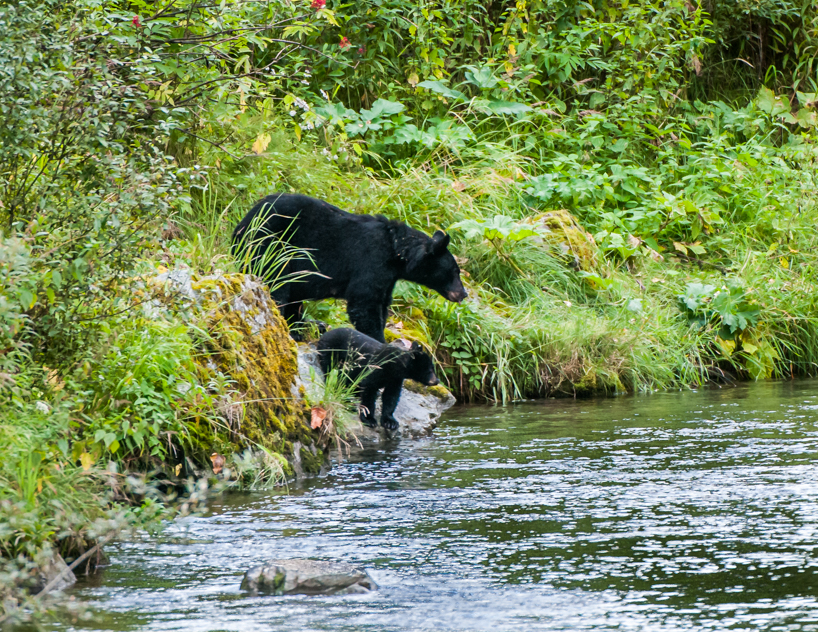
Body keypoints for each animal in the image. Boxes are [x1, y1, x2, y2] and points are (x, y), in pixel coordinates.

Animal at [231, 193, 467, 343]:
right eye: (455, 272)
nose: (463, 293)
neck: (396, 250)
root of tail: (241, 225)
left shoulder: (388, 277)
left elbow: (381, 303)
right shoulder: (371, 261)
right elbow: (364, 303)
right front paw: (380, 341)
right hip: (271, 246)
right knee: (278, 286)